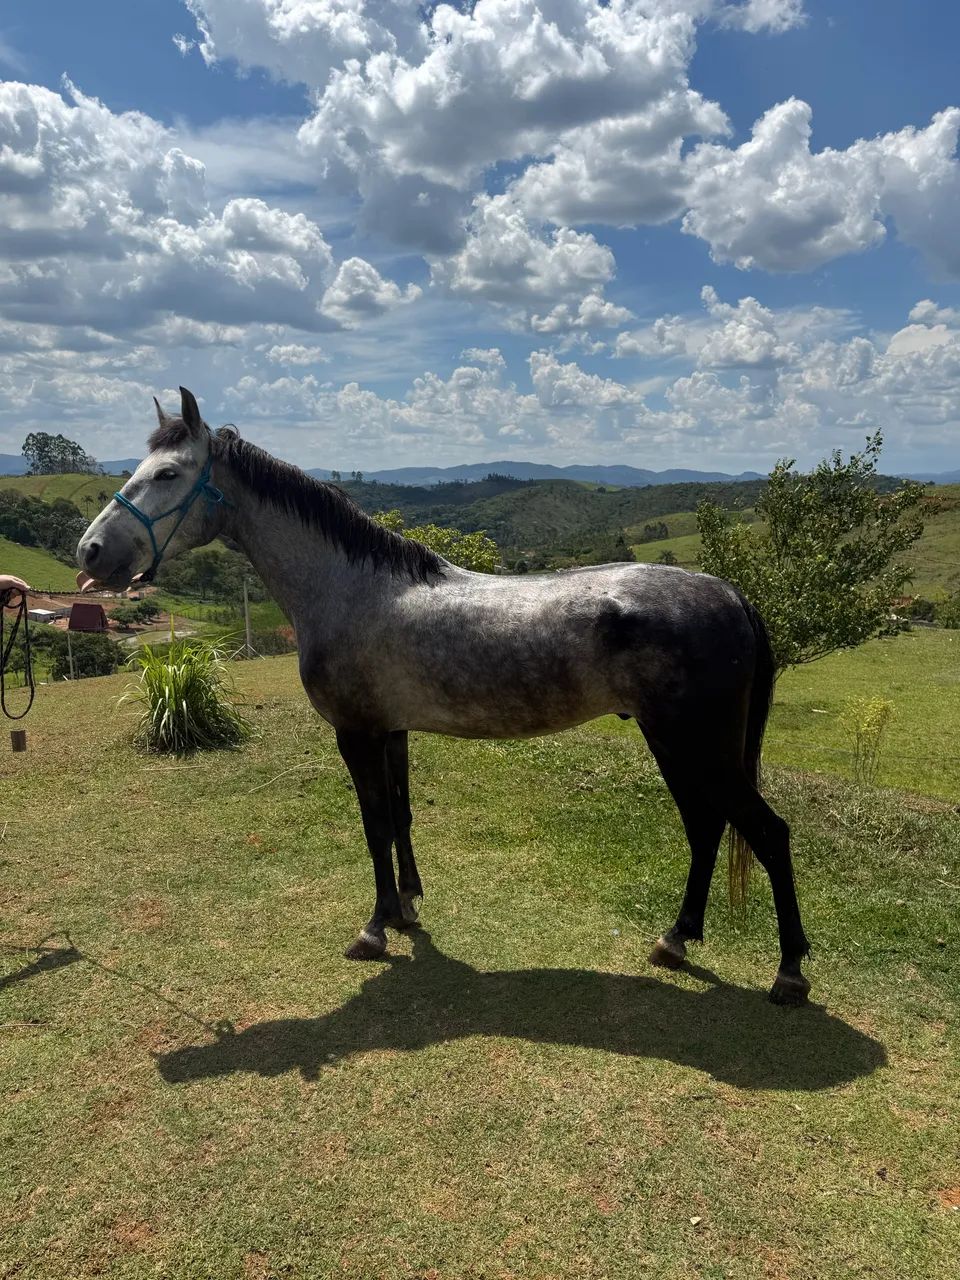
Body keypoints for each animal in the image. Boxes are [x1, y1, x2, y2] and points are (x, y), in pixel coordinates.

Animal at [77, 387, 811, 1005]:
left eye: (168, 474)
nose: (90, 552)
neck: (351, 588)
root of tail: (732, 594)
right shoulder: (392, 731)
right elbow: (401, 819)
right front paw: (406, 908)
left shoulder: (357, 733)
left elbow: (374, 825)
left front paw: (374, 928)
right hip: (674, 743)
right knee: (706, 828)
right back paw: (676, 940)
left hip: (697, 746)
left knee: (767, 834)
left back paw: (789, 972)